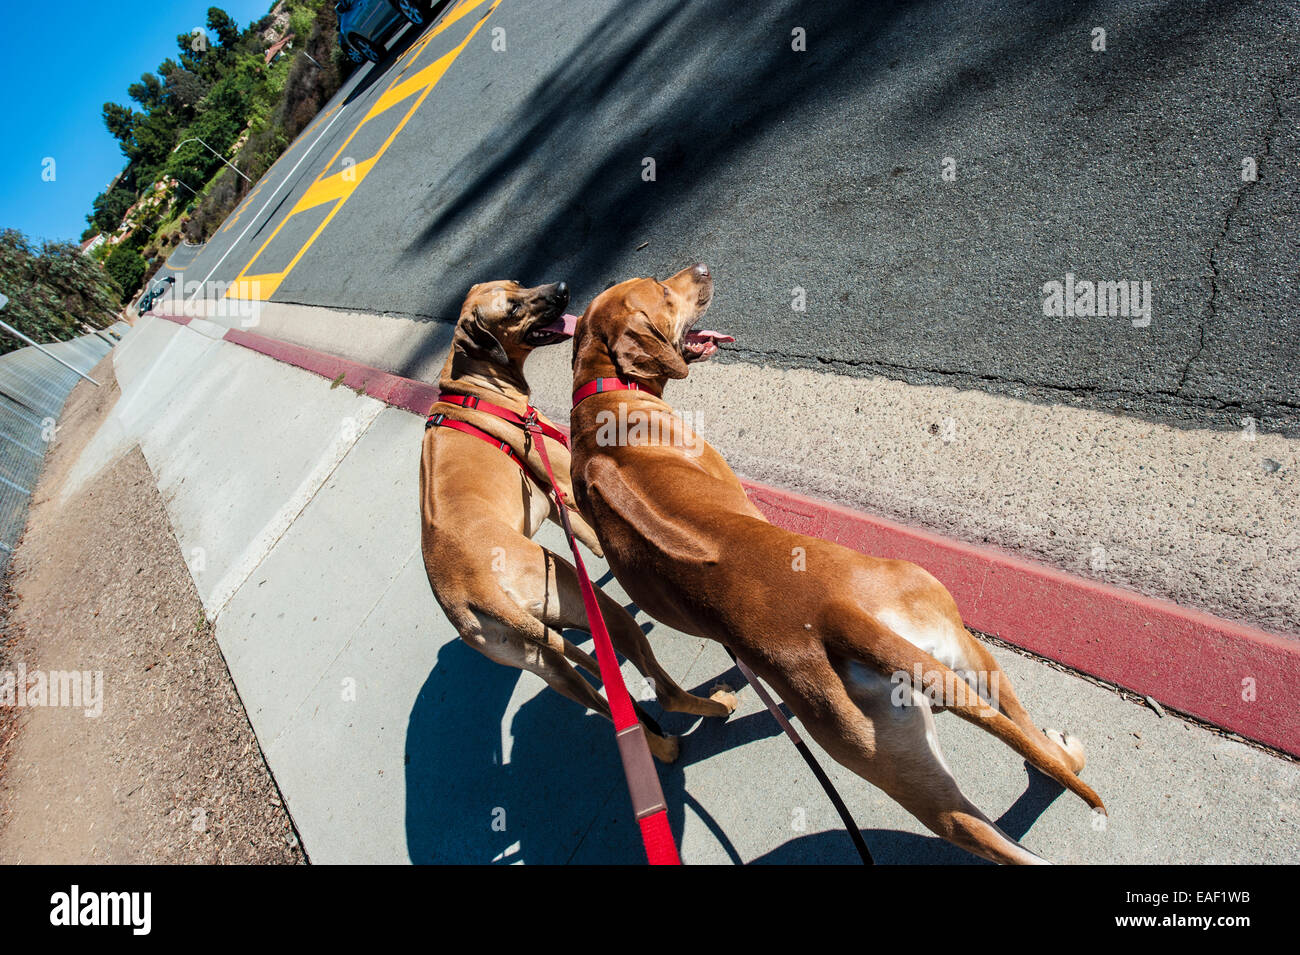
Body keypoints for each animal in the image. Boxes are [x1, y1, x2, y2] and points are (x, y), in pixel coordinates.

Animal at [418, 280, 738, 764]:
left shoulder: (555, 497)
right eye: (512, 308)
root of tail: (472, 594)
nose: (564, 288)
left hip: (549, 665)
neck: (469, 385)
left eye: (517, 283)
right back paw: (716, 705)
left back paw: (661, 747)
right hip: (577, 597)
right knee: (660, 689)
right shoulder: (561, 487)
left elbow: (590, 540)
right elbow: (593, 535)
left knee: (613, 710)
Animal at [569, 263, 1107, 867]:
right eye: (664, 291)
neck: (601, 394)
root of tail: (835, 616)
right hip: (927, 682)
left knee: (1029, 759)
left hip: (941, 678)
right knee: (1001, 808)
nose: (702, 268)